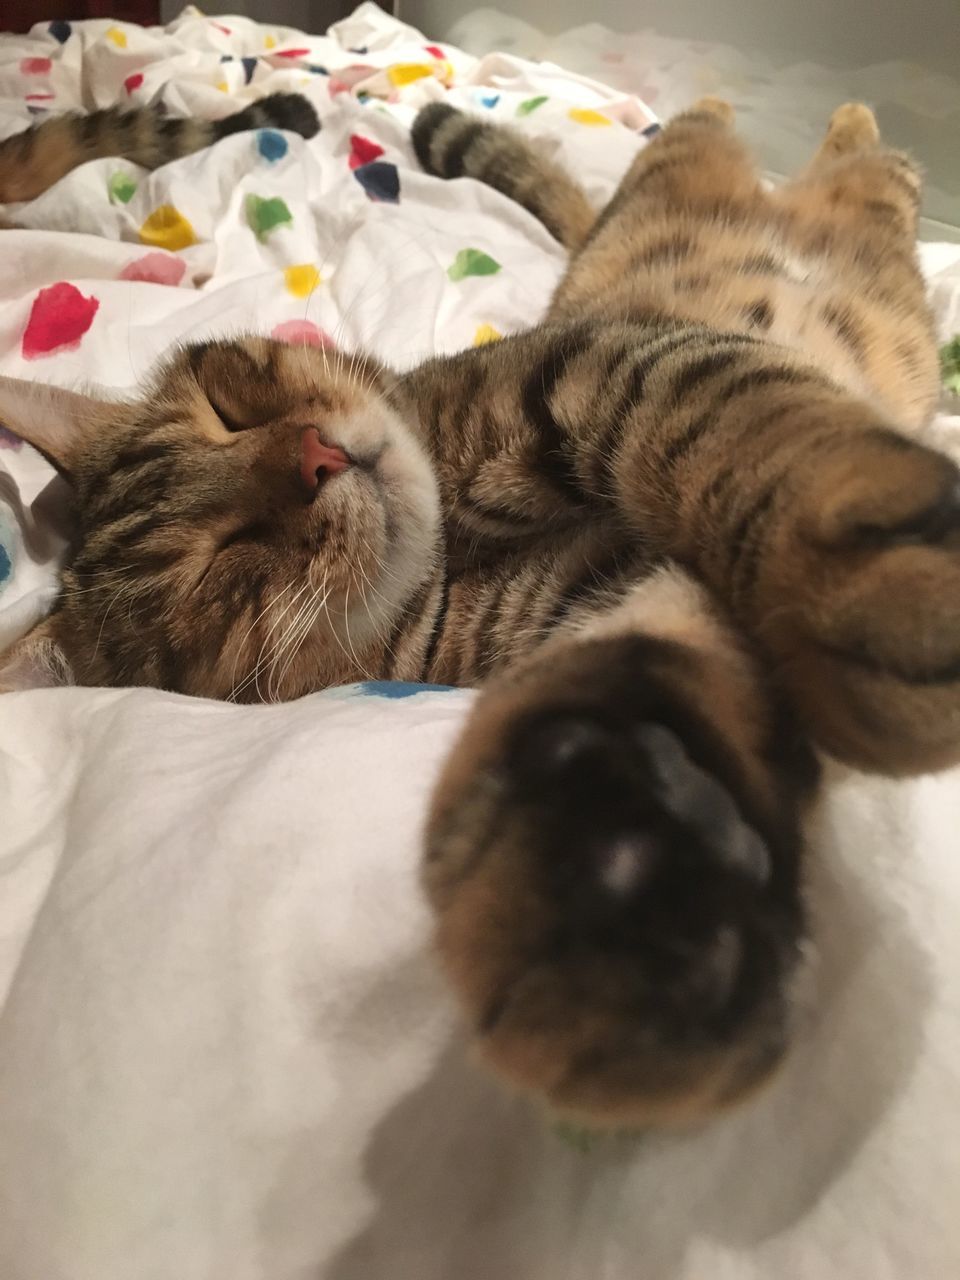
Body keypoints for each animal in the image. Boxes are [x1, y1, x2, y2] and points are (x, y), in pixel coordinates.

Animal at [1, 97, 960, 1121]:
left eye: (228, 408)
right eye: (221, 569)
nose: (318, 457)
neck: (451, 548)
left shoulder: (591, 369)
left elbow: (723, 419)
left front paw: (865, 565)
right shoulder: (596, 590)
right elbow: (664, 667)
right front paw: (630, 866)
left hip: (773, 192)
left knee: (799, 148)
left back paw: (824, 117)